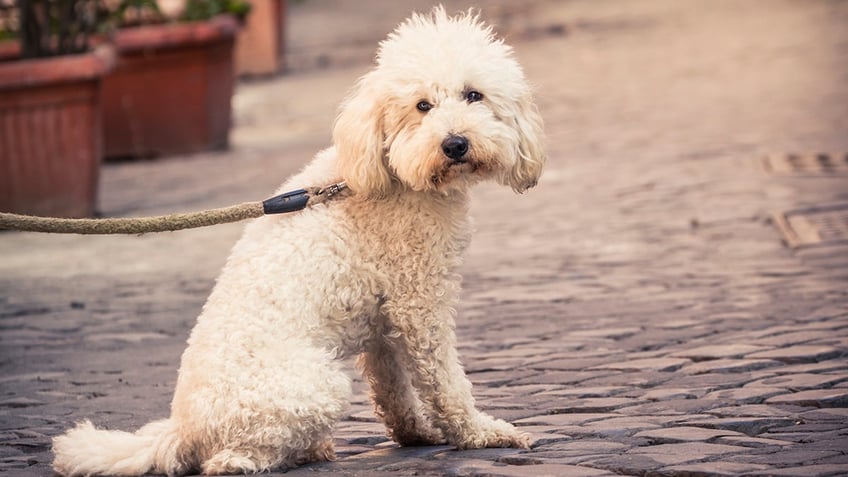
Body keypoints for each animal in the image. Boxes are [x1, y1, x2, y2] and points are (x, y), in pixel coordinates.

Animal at [51, 5, 544, 474]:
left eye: (474, 95)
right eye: (422, 106)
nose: (455, 144)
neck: (393, 177)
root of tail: (183, 430)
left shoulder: (382, 323)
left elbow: (393, 391)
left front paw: (417, 434)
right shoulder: (418, 306)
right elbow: (444, 382)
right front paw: (480, 434)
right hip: (318, 384)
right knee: (226, 460)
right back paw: (270, 457)